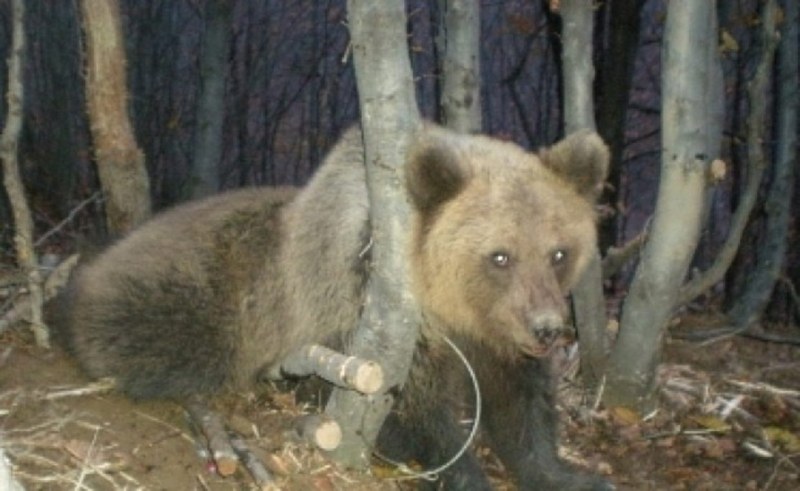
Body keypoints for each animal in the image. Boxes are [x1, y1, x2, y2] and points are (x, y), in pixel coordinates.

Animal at [51, 123, 612, 491]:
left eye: (559, 252)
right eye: (500, 255)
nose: (548, 329)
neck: (449, 308)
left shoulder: (493, 337)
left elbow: (521, 407)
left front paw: (573, 475)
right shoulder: (361, 309)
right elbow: (407, 412)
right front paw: (463, 471)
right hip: (195, 293)